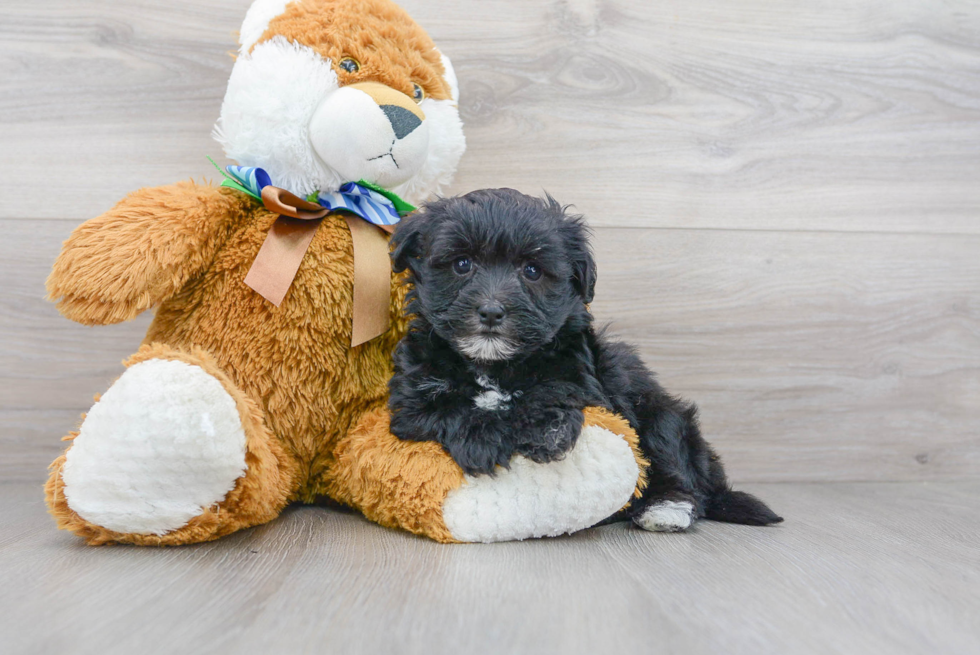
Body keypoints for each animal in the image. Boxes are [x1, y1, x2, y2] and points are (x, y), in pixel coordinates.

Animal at [390, 187, 780, 532]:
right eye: (462, 264)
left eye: (532, 271)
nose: (490, 311)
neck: (493, 365)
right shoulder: (411, 400)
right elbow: (446, 409)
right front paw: (482, 438)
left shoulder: (583, 378)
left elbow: (555, 390)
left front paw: (547, 428)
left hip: (662, 415)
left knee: (677, 468)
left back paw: (665, 509)